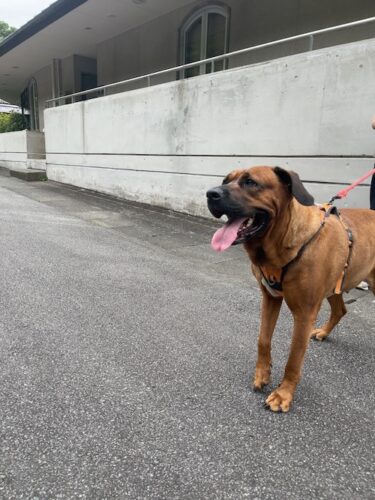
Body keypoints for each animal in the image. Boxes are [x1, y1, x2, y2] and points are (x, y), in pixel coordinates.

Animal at [207, 166, 374, 412]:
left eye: (250, 182)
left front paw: (283, 394)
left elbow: (294, 359)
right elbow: (263, 340)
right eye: (225, 180)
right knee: (340, 310)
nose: (210, 194)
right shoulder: (270, 298)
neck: (283, 244)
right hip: (336, 283)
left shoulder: (304, 314)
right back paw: (324, 332)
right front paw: (262, 374)